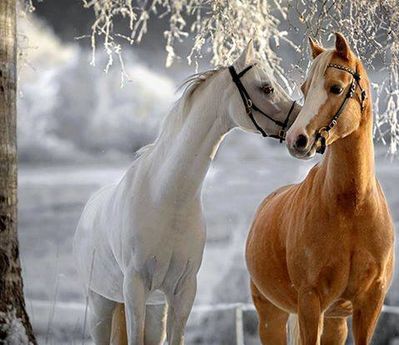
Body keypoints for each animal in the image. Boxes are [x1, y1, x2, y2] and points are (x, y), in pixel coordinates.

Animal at [73, 42, 302, 344]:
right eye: (266, 88)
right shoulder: (134, 289)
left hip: (154, 311)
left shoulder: (182, 292)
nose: (302, 132)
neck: (166, 198)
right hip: (101, 305)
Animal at [245, 32, 396, 344]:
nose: (296, 139)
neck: (352, 207)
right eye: (305, 88)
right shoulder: (311, 302)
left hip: (335, 321)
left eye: (336, 88)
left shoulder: (369, 304)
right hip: (271, 316)